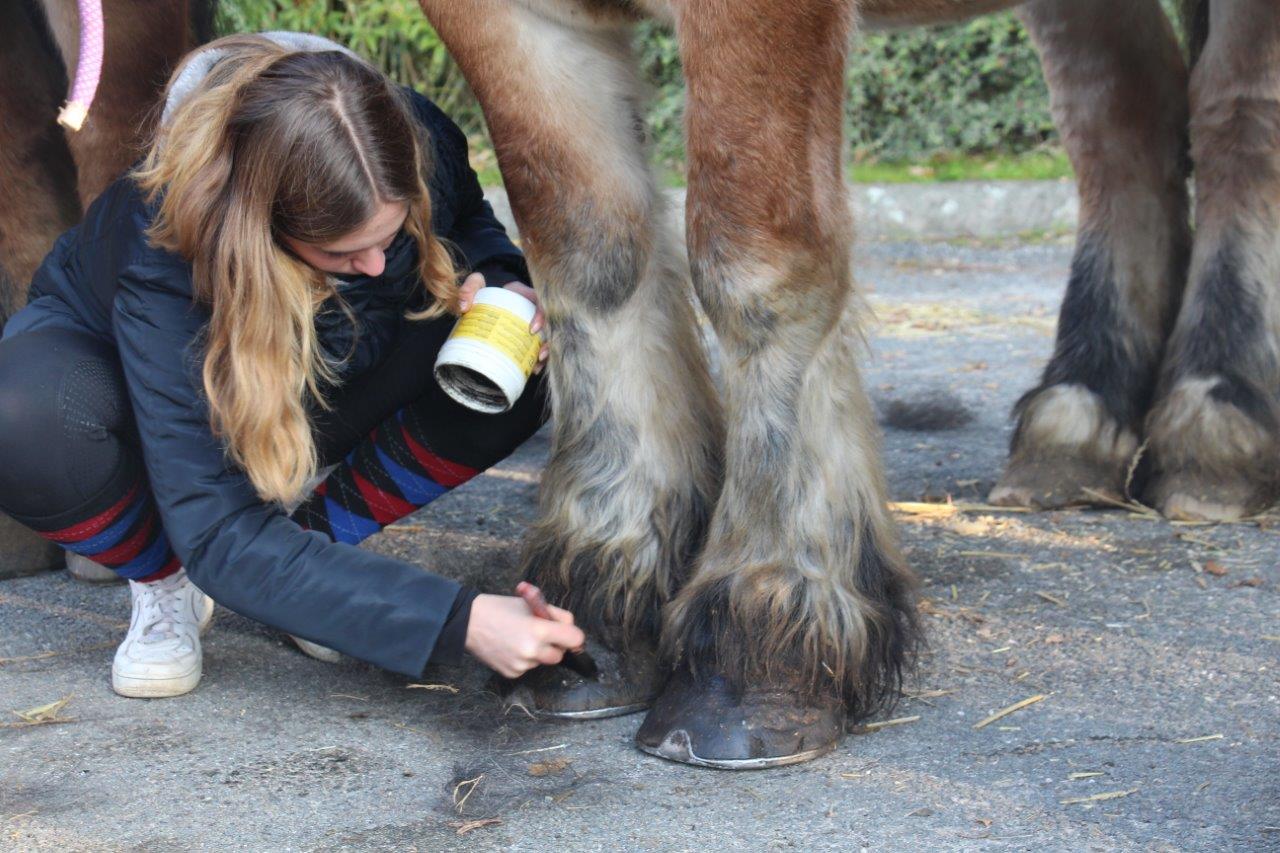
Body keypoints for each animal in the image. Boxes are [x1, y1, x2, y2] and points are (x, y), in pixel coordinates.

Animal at [422, 0, 1280, 768]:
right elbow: (586, 248)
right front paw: (600, 587)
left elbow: (755, 260)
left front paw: (763, 629)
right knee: (1122, 118)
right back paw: (1077, 420)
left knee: (1235, 115)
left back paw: (1214, 425)